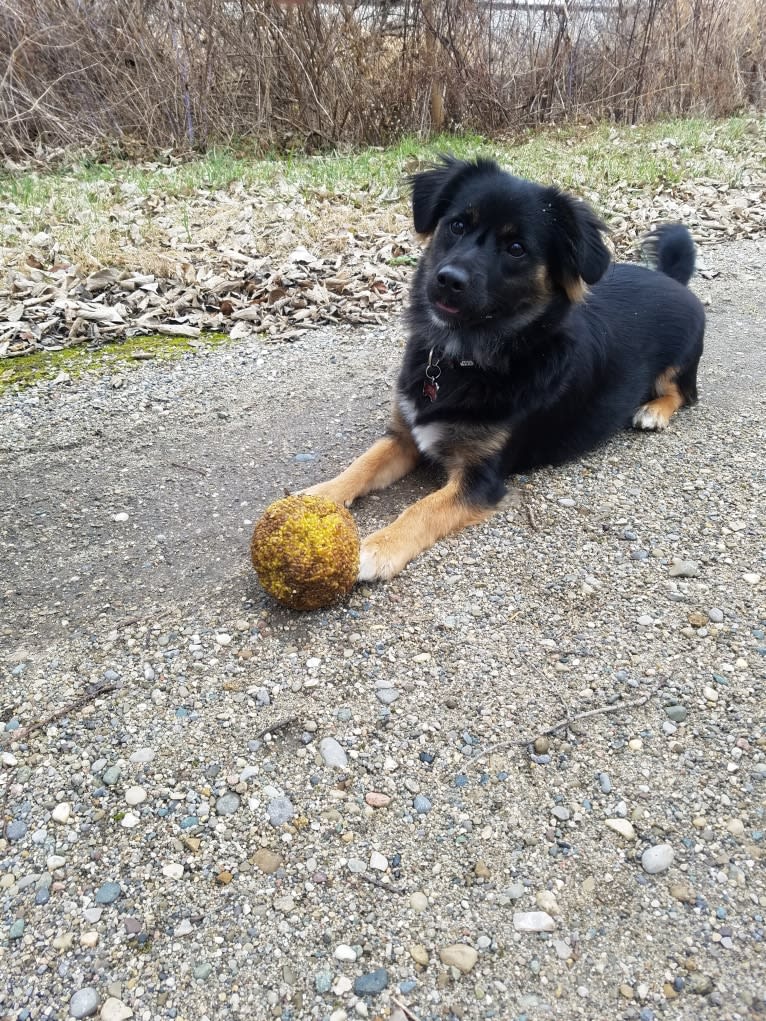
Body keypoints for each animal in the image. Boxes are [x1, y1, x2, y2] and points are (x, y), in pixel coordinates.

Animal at [306, 154, 706, 579]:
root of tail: (672, 279)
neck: (464, 359)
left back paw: (653, 411)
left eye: (516, 248)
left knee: (683, 393)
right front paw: (318, 496)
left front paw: (378, 547)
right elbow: (361, 465)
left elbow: (423, 508)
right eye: (457, 225)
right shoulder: (403, 436)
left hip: (680, 363)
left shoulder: (481, 480)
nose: (448, 280)